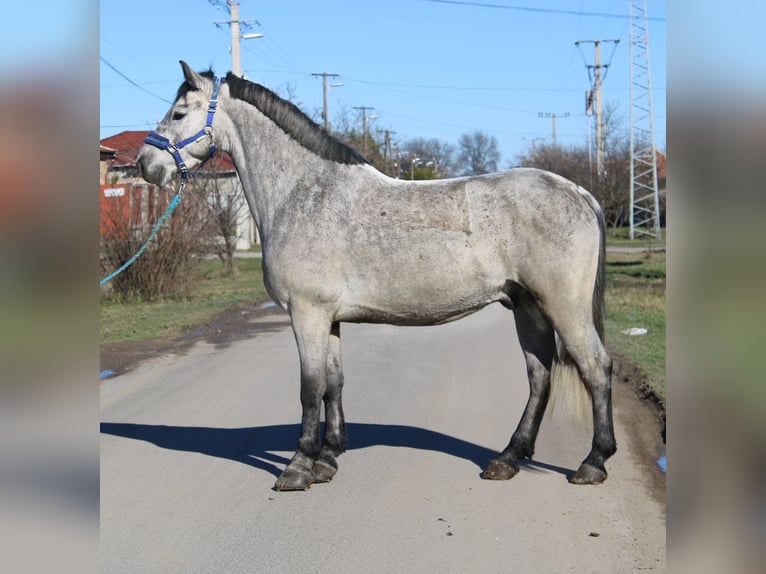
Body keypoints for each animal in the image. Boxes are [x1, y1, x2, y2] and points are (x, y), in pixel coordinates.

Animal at [137, 61, 616, 491]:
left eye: (178, 113)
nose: (145, 164)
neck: (303, 193)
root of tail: (578, 192)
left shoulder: (307, 314)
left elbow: (309, 389)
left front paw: (297, 468)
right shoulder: (328, 318)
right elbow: (333, 384)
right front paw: (327, 459)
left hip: (564, 307)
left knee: (595, 368)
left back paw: (593, 463)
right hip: (527, 306)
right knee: (539, 376)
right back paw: (508, 459)